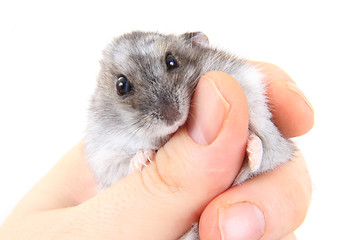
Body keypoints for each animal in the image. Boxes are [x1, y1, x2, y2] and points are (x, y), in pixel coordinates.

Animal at [85, 31, 296, 240]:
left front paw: (252, 144)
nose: (173, 117)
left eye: (171, 61)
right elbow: (127, 163)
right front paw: (144, 158)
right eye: (121, 85)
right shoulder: (106, 160)